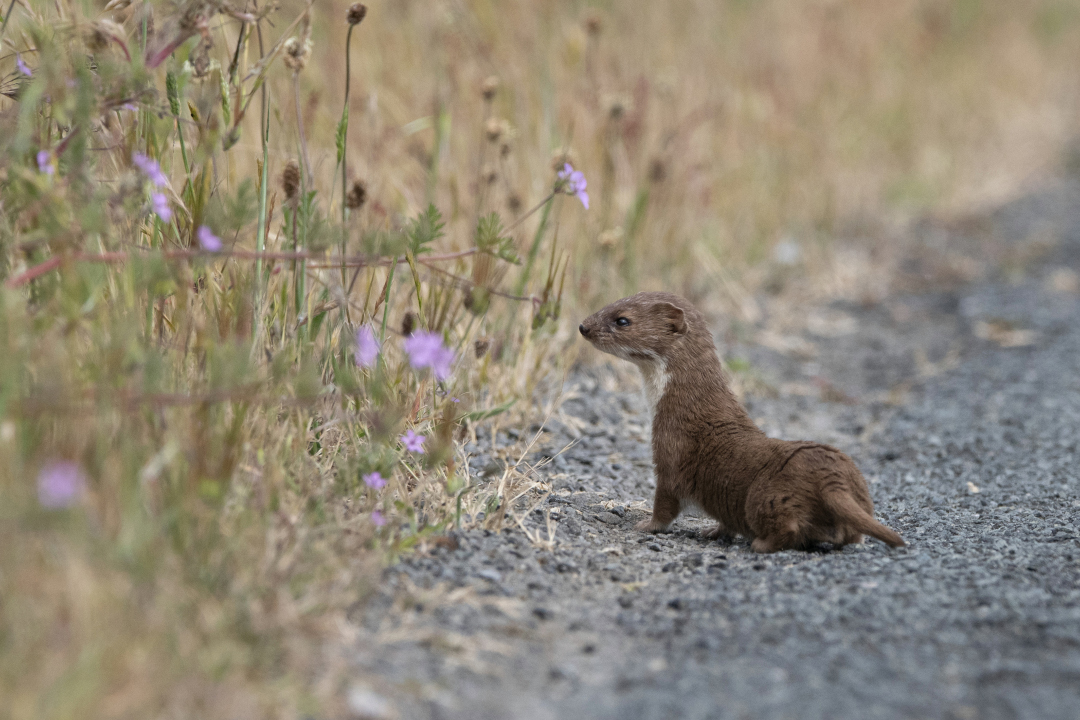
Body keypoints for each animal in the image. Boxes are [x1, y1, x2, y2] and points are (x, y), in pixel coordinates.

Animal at [578, 291, 907, 552]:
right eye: (609, 303)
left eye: (622, 320)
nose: (583, 326)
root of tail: (831, 477)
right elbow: (725, 520)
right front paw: (712, 530)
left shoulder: (671, 454)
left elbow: (666, 503)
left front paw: (647, 525)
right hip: (858, 490)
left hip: (763, 497)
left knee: (788, 528)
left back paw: (761, 543)